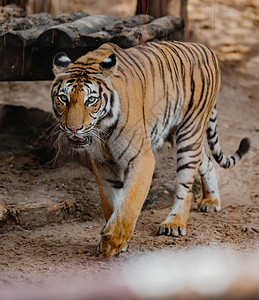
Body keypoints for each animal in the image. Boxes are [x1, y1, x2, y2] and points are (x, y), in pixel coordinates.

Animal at [49, 39, 251, 256]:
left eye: (91, 100)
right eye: (63, 99)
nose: (73, 128)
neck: (102, 130)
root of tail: (206, 48)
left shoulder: (141, 158)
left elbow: (129, 203)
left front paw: (113, 241)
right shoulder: (103, 163)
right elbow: (111, 203)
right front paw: (115, 240)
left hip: (190, 131)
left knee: (186, 185)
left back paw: (174, 223)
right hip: (181, 133)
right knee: (207, 161)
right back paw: (211, 201)